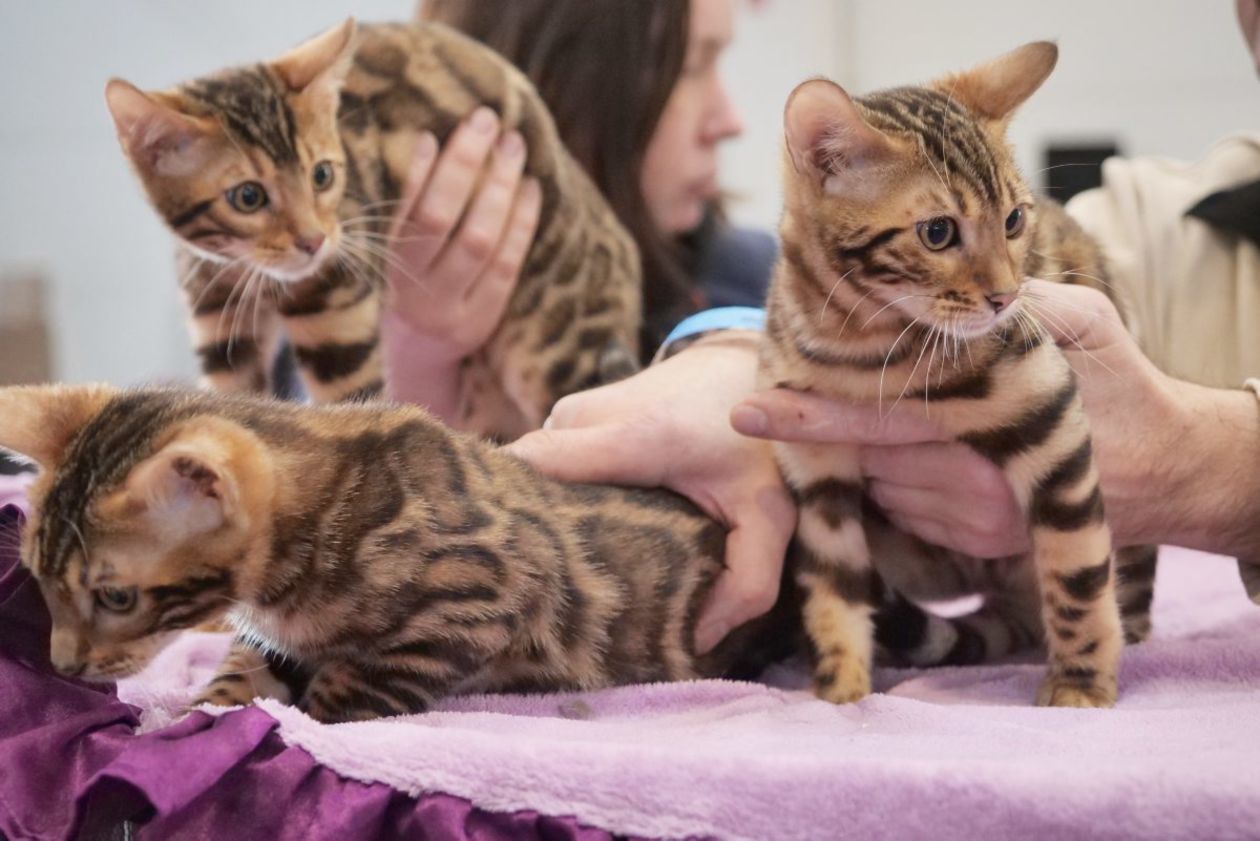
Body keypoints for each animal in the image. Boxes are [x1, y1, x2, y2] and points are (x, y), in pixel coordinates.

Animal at [0, 384, 785, 723]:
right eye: (39, 580)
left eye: (115, 596)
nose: (62, 664)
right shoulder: (272, 636)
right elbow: (241, 669)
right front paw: (204, 711)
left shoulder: (478, 600)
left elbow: (352, 692)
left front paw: (310, 720)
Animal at [104, 18, 641, 440]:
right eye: (248, 197)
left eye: (322, 175)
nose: (313, 241)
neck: (245, 270)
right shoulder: (219, 332)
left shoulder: (340, 316)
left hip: (559, 348)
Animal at [760, 41, 1152, 708]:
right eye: (938, 232)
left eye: (1015, 221)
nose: (1006, 297)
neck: (860, 345)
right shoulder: (817, 473)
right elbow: (833, 590)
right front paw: (839, 692)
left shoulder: (1050, 414)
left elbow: (1076, 574)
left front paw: (1080, 685)